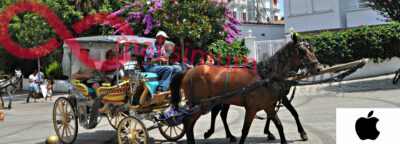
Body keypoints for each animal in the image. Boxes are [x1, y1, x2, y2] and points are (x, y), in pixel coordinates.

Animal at [170, 34, 320, 143]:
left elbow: (279, 125)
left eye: (311, 49)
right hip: (200, 104)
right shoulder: (252, 108)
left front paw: (273, 134)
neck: (265, 76)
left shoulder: (269, 105)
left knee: (201, 120)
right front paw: (301, 132)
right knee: (189, 121)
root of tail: (188, 71)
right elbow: (245, 131)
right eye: (302, 51)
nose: (318, 67)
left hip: (209, 103)